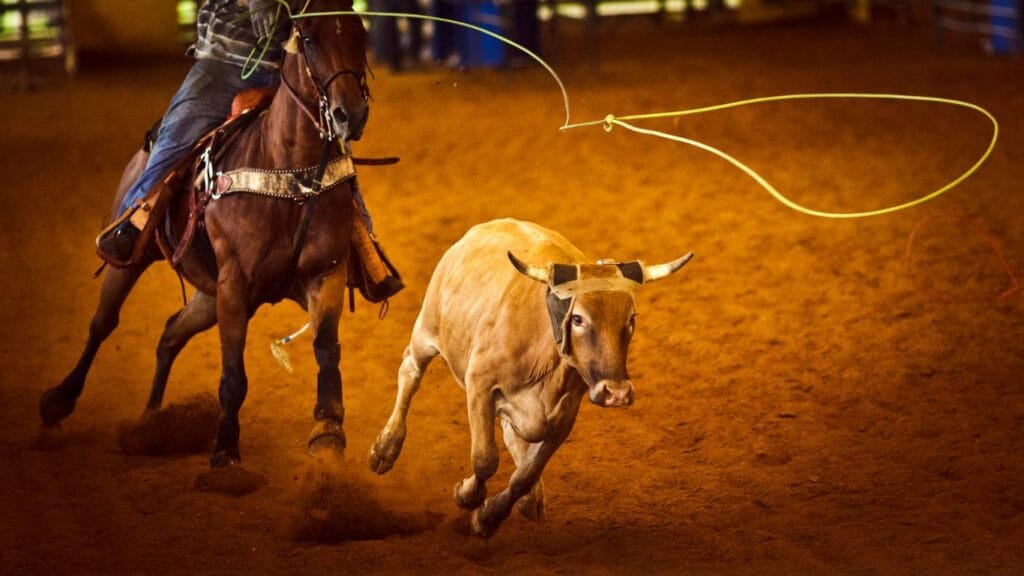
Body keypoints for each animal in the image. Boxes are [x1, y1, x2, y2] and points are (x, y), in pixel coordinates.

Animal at [38, 1, 372, 467]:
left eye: (361, 34)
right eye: (308, 38)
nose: (350, 114)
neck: (291, 174)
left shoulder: (326, 274)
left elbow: (327, 352)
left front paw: (328, 435)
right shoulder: (234, 285)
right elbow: (233, 376)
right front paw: (225, 454)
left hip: (207, 294)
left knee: (170, 333)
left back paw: (150, 423)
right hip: (133, 259)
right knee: (102, 323)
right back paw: (59, 401)